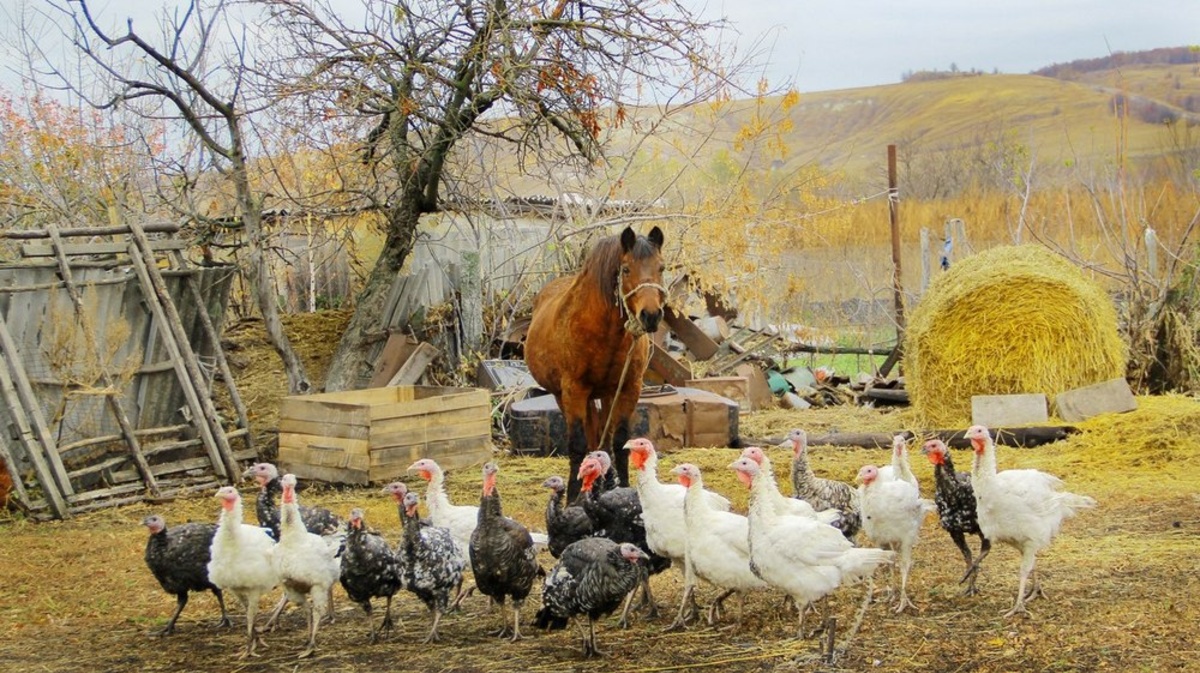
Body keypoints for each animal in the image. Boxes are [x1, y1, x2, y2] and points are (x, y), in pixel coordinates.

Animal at [525, 225, 667, 499]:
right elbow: (578, 446)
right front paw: (572, 497)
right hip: (567, 396)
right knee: (591, 440)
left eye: (661, 267)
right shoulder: (574, 390)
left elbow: (620, 441)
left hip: (607, 394)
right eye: (626, 269)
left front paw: (621, 488)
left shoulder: (628, 387)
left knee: (603, 437)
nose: (651, 315)